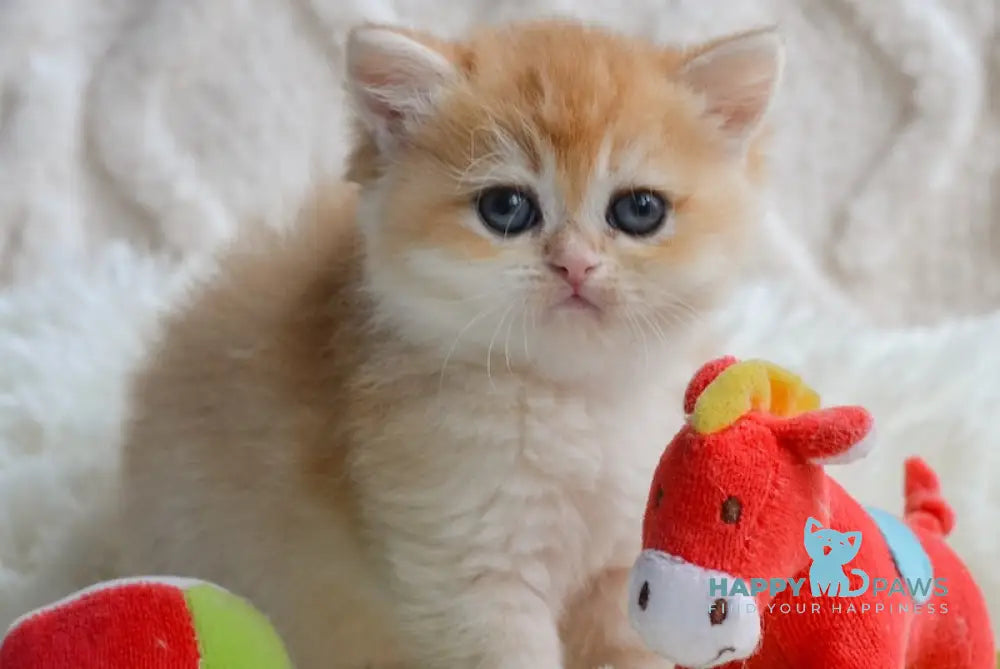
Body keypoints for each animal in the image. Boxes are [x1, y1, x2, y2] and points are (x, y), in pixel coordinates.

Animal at [121, 18, 784, 664]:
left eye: (639, 210)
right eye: (506, 207)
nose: (574, 264)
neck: (573, 400)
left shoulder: (631, 562)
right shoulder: (471, 580)